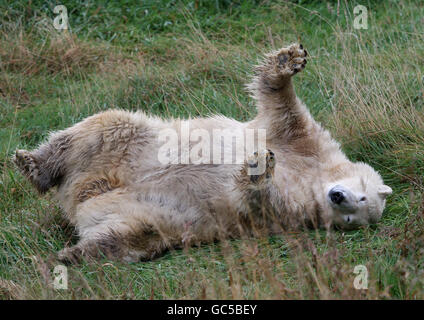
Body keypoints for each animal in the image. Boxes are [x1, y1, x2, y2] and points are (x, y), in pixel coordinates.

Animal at [13, 43, 390, 262]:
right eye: (362, 193)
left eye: (354, 216)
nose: (339, 197)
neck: (313, 178)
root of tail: (83, 196)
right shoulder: (306, 145)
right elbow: (284, 112)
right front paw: (288, 61)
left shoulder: (293, 213)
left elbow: (257, 202)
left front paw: (259, 169)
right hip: (129, 147)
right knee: (104, 128)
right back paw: (32, 163)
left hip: (143, 216)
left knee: (128, 237)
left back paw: (71, 253)